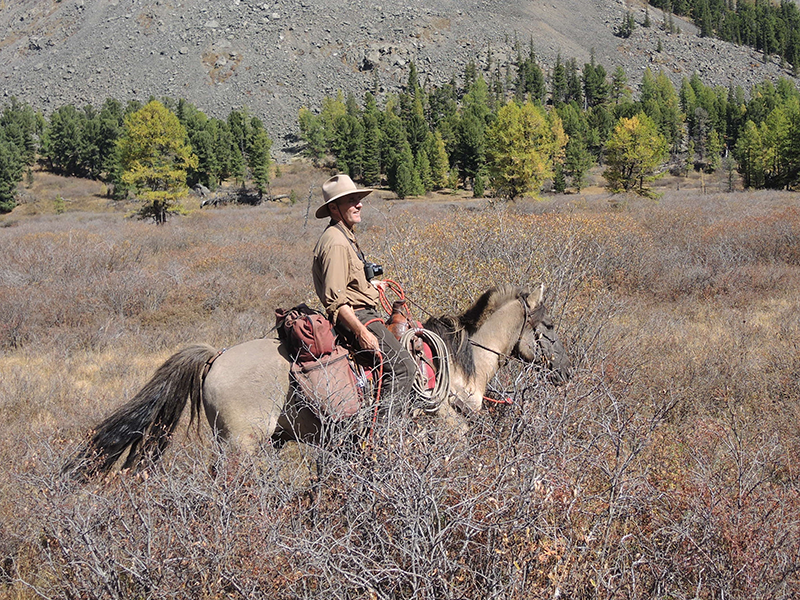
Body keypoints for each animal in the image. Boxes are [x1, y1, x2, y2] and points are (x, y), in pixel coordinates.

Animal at [69, 284, 568, 476]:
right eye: (548, 326)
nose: (567, 371)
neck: (462, 367)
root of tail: (218, 356)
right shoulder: (448, 431)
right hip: (240, 445)